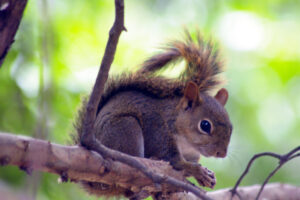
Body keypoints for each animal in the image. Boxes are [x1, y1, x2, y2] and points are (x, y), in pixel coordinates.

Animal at [74, 32, 233, 198]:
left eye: (231, 128)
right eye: (205, 125)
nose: (221, 153)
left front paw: (205, 174)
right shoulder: (158, 133)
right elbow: (174, 162)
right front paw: (197, 171)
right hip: (126, 129)